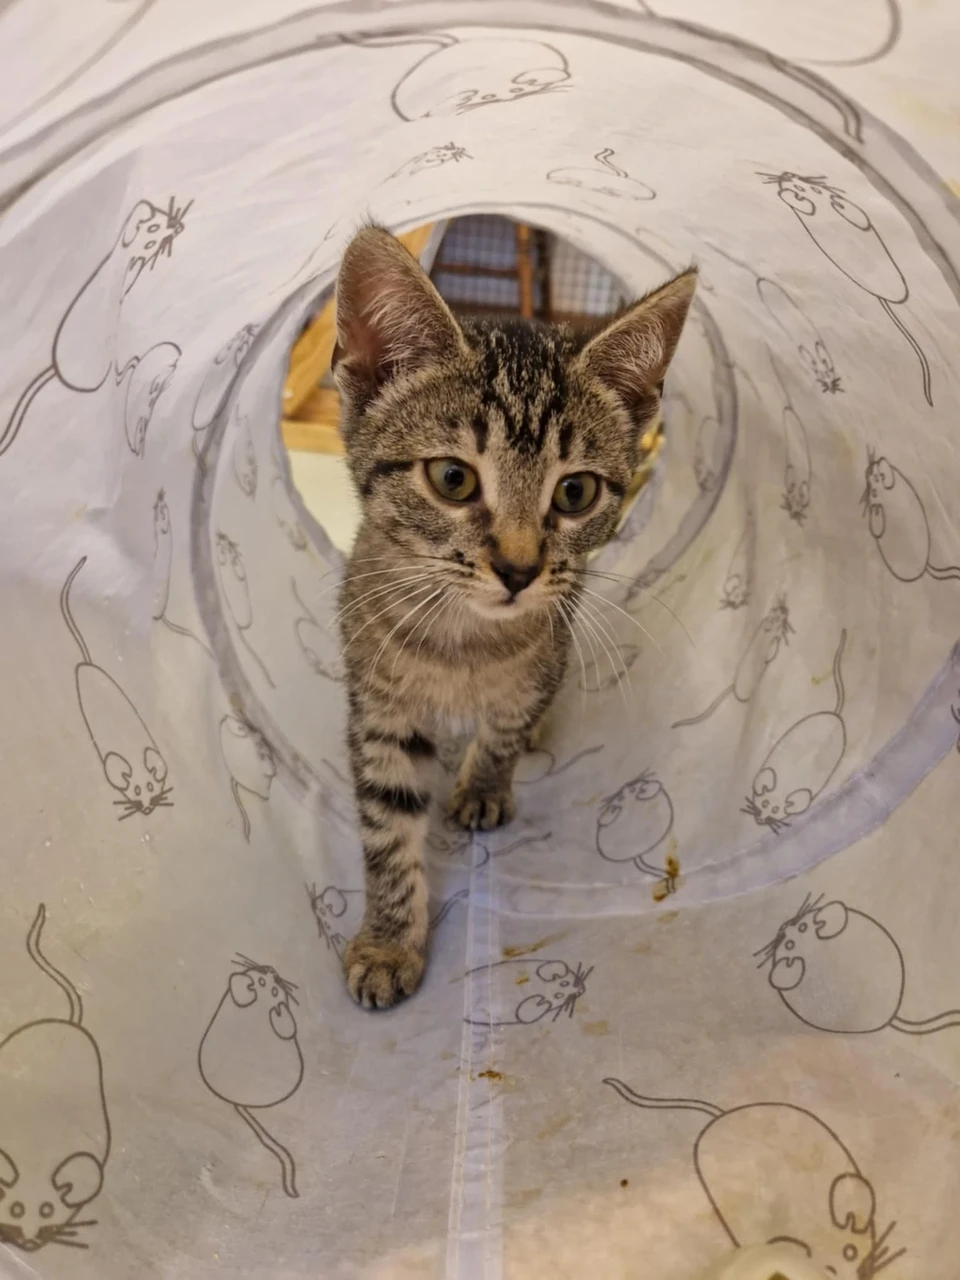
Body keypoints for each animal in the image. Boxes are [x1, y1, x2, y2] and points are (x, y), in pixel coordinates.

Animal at [332, 225, 696, 1008]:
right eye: (452, 478)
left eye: (576, 492)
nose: (521, 570)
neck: (463, 642)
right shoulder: (378, 708)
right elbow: (387, 828)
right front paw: (387, 941)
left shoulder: (546, 652)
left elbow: (504, 725)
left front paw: (483, 785)